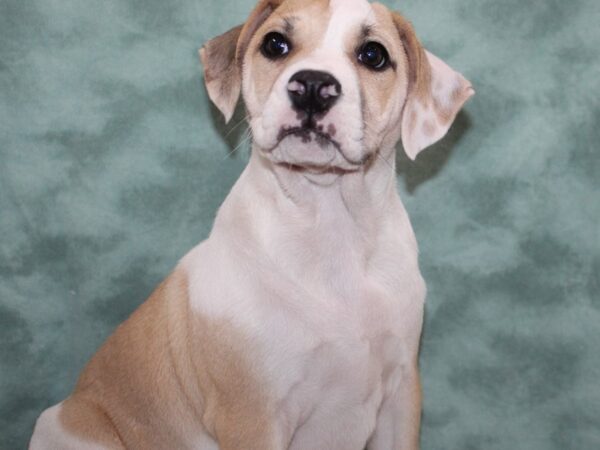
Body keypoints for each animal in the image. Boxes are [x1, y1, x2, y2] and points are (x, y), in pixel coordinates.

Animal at [29, 0, 474, 450]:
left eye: (373, 55)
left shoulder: (401, 396)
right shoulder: (253, 415)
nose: (312, 85)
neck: (330, 225)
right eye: (275, 44)